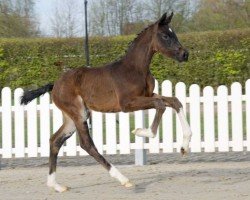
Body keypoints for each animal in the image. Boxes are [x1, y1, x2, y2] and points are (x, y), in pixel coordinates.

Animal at [21, 12, 192, 192]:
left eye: (174, 33)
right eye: (165, 35)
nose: (185, 54)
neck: (135, 69)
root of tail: (55, 85)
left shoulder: (149, 94)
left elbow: (174, 101)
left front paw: (184, 147)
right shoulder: (127, 104)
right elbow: (160, 105)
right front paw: (140, 131)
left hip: (72, 117)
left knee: (55, 140)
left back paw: (56, 185)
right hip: (79, 114)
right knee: (86, 144)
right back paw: (123, 179)